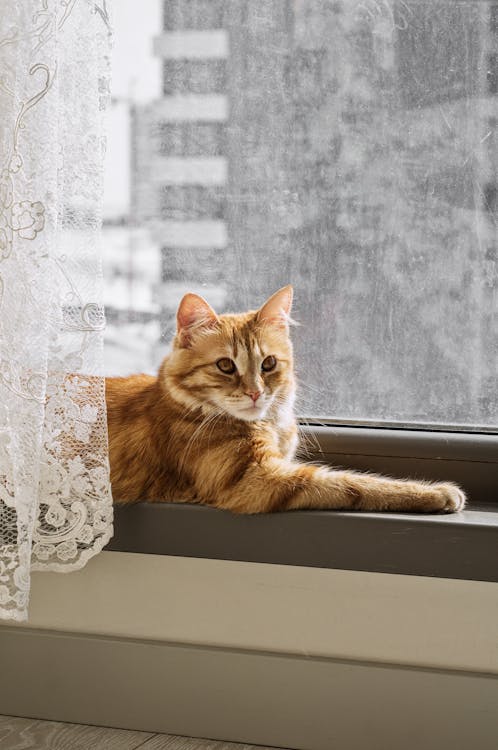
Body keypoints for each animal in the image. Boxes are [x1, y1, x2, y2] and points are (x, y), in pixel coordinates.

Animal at [106, 284, 466, 516]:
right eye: (226, 366)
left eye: (268, 364)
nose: (255, 392)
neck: (269, 424)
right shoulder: (259, 478)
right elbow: (357, 485)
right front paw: (436, 492)